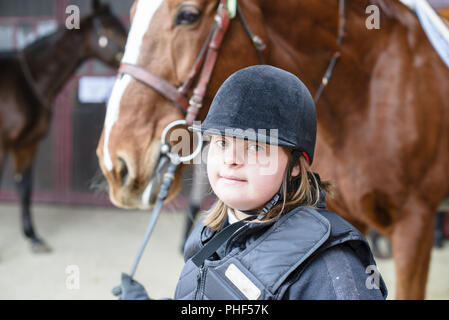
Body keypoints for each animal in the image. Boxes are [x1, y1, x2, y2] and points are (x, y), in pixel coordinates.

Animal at [95, 0, 448, 300]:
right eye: (132, 13)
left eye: (188, 15)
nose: (116, 162)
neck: (366, 89)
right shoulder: (348, 213)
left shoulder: (414, 226)